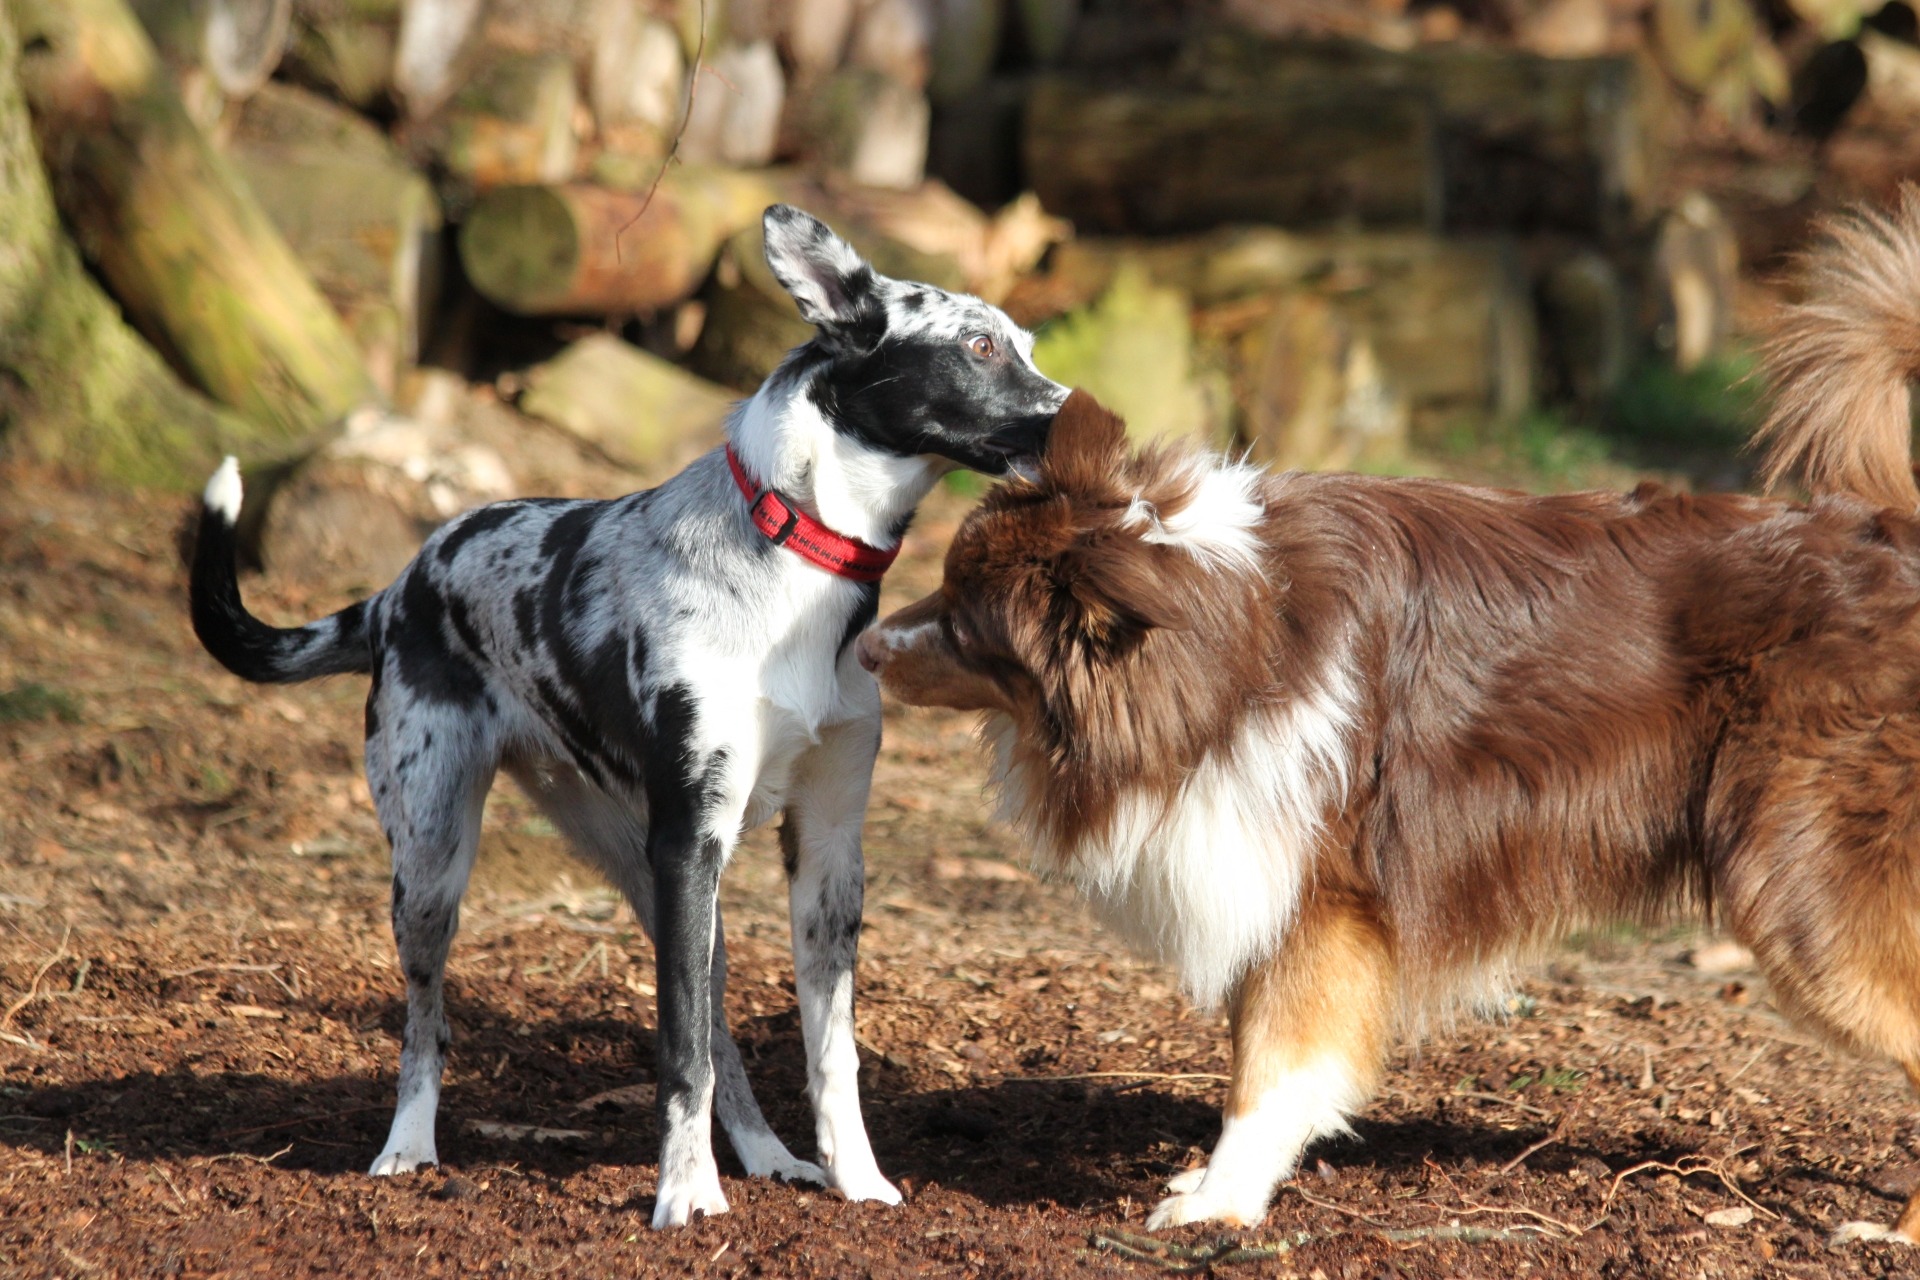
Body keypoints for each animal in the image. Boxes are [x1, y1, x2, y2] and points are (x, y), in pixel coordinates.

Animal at [185, 208, 1067, 1228]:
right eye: (978, 346)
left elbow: (826, 1051)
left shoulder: (826, 852)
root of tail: (399, 585)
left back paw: (768, 1158)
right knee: (426, 1027)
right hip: (436, 869)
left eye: (1028, 345)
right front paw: (683, 1196)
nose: (1085, 418)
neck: (797, 558)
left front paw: (855, 1177)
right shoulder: (691, 841)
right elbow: (677, 1054)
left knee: (718, 1030)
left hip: (659, 886)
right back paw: (409, 1147)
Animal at [864, 189, 1920, 1243]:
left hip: (1802, 891)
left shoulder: (1321, 897)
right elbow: (1255, 1055)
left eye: (964, 622)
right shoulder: (1272, 871)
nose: (867, 647)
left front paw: (1221, 1204)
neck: (1216, 626)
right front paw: (1220, 1184)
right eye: (946, 584)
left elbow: (1269, 1069)